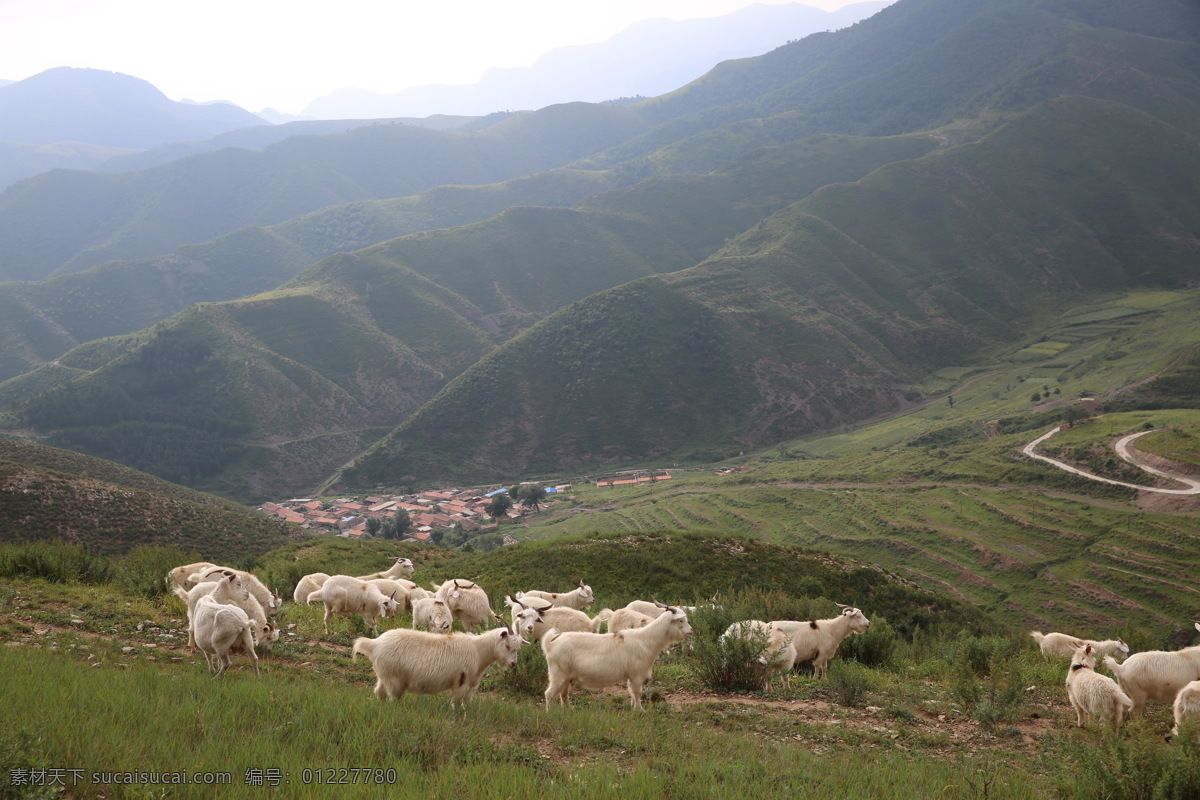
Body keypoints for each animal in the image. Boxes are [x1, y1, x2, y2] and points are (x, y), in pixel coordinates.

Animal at [352, 623, 528, 705]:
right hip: (394, 680)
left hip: (384, 676)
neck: (477, 650)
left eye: (518, 648)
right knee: (393, 698)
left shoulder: (471, 685)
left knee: (379, 692)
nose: (513, 664)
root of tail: (374, 644)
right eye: (507, 645)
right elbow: (455, 703)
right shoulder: (461, 682)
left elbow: (466, 704)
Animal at [540, 604, 691, 710]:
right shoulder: (637, 674)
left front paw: (633, 708)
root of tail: (551, 644)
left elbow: (631, 692)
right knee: (549, 694)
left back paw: (568, 710)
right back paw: (550, 713)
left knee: (563, 694)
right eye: (681, 620)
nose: (691, 630)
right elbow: (637, 692)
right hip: (558, 675)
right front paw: (640, 710)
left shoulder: (632, 676)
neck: (645, 639)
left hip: (566, 677)